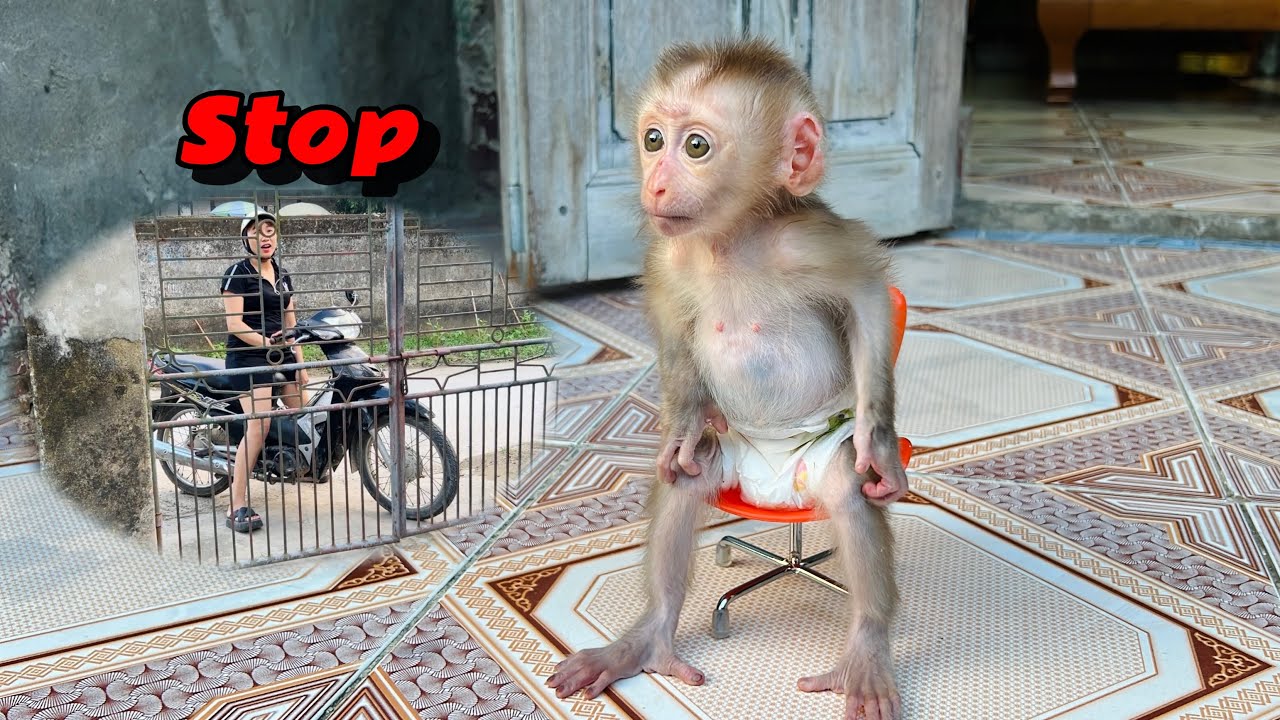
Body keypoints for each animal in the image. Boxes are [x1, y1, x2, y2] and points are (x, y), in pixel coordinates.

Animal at [545, 37, 909, 720]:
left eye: (696, 147)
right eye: (653, 138)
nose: (656, 181)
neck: (731, 238)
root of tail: (777, 503)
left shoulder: (811, 239)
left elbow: (869, 298)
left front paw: (879, 443)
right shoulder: (669, 257)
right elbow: (670, 321)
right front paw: (684, 426)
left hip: (816, 457)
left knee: (847, 493)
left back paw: (866, 651)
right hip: (736, 463)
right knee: (688, 482)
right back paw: (647, 639)